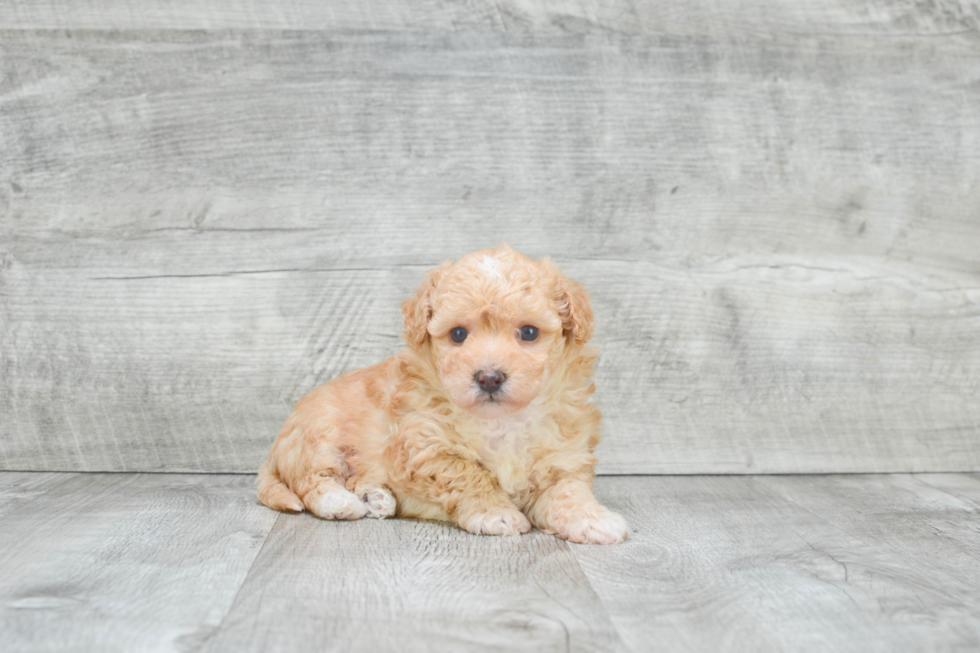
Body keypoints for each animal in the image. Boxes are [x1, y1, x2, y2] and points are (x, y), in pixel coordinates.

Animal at [256, 244, 632, 544]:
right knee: (311, 481)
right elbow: (469, 475)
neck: (501, 421)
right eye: (458, 334)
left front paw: (593, 520)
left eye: (529, 332)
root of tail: (274, 450)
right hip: (318, 436)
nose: (489, 377)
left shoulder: (562, 458)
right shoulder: (426, 447)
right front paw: (496, 513)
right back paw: (341, 503)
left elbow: (569, 492)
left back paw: (375, 497)